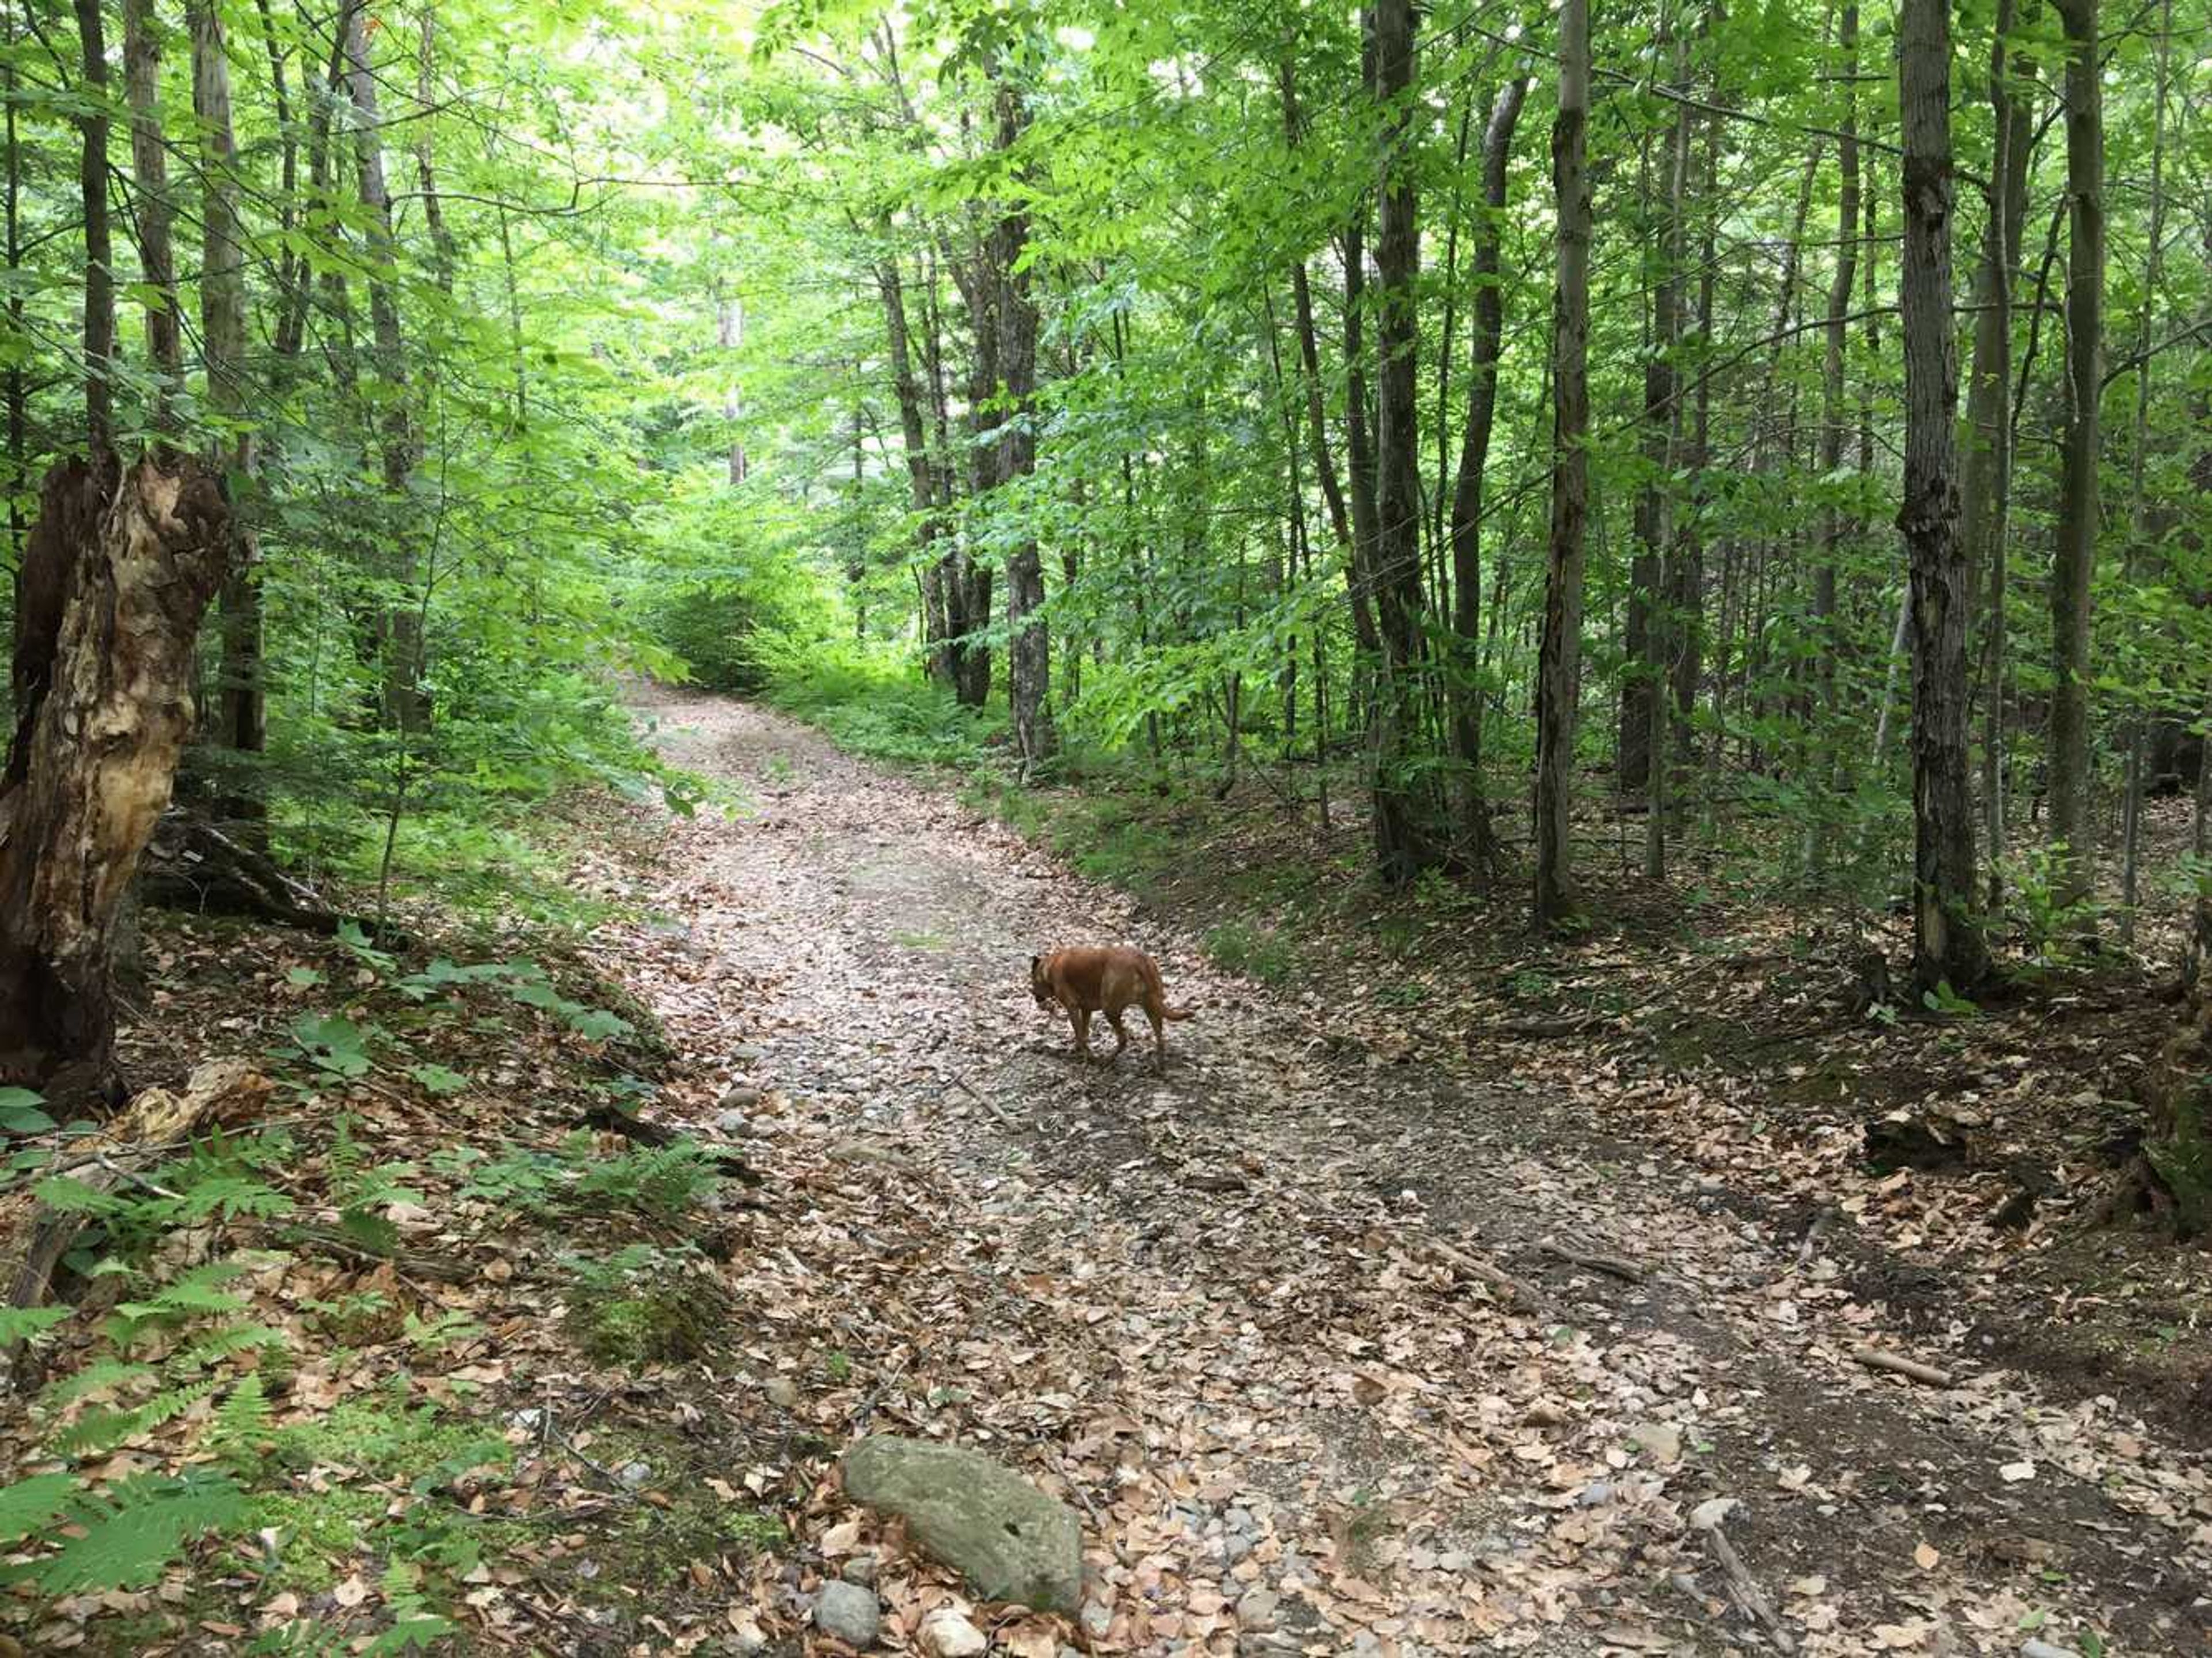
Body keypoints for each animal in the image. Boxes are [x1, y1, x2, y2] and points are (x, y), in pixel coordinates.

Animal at [1031, 942, 1194, 1076]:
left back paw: (1106, 1061)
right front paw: (1078, 1051)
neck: (1049, 967)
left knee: (1123, 1039)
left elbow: (1080, 1035)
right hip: (1151, 1007)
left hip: (1110, 1009)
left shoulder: (1072, 1007)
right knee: (1160, 1038)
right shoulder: (1086, 1009)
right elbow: (1084, 1033)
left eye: (1032, 981)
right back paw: (1159, 1067)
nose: (1033, 994)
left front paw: (1089, 1057)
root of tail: (1140, 962)